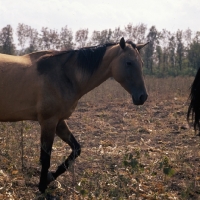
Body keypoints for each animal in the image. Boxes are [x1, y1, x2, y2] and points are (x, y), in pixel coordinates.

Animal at [0, 37, 148, 192]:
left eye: (141, 63)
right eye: (129, 62)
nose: (142, 96)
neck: (64, 75)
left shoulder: (59, 122)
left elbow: (76, 149)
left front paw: (49, 177)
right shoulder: (48, 122)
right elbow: (46, 157)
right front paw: (42, 187)